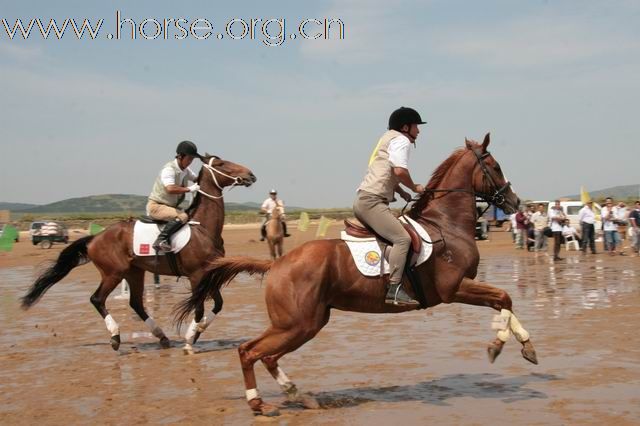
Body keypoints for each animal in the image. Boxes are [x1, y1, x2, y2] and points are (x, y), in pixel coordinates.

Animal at [22, 154, 258, 352]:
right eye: (221, 164)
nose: (250, 175)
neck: (204, 228)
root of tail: (95, 238)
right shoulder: (196, 275)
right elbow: (199, 308)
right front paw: (190, 340)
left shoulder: (208, 273)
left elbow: (218, 304)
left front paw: (197, 332)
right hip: (114, 273)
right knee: (97, 299)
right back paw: (115, 337)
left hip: (134, 272)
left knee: (135, 303)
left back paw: (161, 336)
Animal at [174, 134, 536, 416]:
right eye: (495, 167)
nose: (515, 201)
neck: (446, 224)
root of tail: (276, 265)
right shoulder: (454, 289)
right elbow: (504, 297)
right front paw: (498, 345)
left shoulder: (461, 288)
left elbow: (505, 301)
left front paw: (526, 348)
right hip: (296, 324)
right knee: (249, 351)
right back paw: (259, 403)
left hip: (307, 324)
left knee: (268, 357)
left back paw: (297, 394)